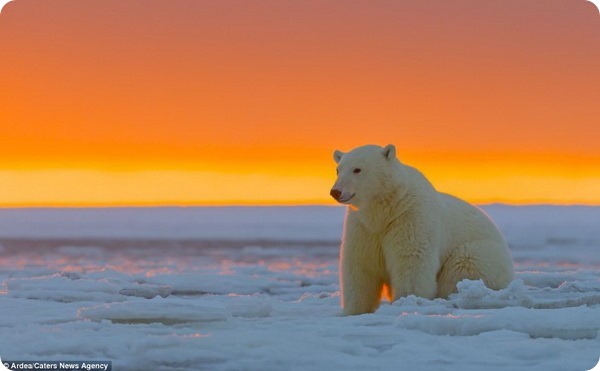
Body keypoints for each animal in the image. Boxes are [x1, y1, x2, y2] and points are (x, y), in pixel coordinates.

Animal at [330, 144, 512, 316]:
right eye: (338, 170)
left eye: (357, 169)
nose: (335, 191)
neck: (386, 210)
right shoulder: (363, 226)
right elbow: (360, 264)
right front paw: (354, 310)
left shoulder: (410, 217)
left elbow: (411, 261)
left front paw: (407, 301)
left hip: (482, 254)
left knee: (464, 263)